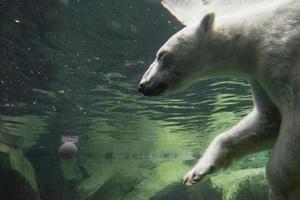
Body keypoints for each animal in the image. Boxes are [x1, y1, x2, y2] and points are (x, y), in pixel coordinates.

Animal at [138, 0, 300, 199]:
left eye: (161, 54)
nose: (143, 85)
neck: (253, 37)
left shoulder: (284, 55)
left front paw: (284, 186)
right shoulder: (258, 75)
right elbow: (268, 121)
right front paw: (196, 173)